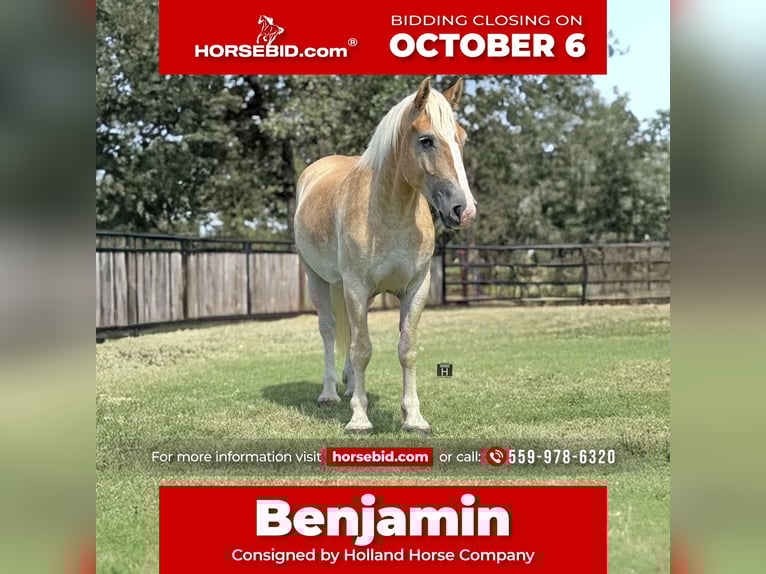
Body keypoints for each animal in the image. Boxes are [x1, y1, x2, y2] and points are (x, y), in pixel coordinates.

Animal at [294, 78, 477, 434]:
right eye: (426, 140)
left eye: (461, 138)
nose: (464, 210)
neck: (389, 214)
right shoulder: (354, 286)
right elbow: (363, 349)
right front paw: (359, 419)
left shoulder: (415, 288)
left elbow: (406, 349)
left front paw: (414, 418)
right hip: (317, 278)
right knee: (329, 330)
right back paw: (330, 394)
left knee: (351, 334)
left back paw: (350, 387)